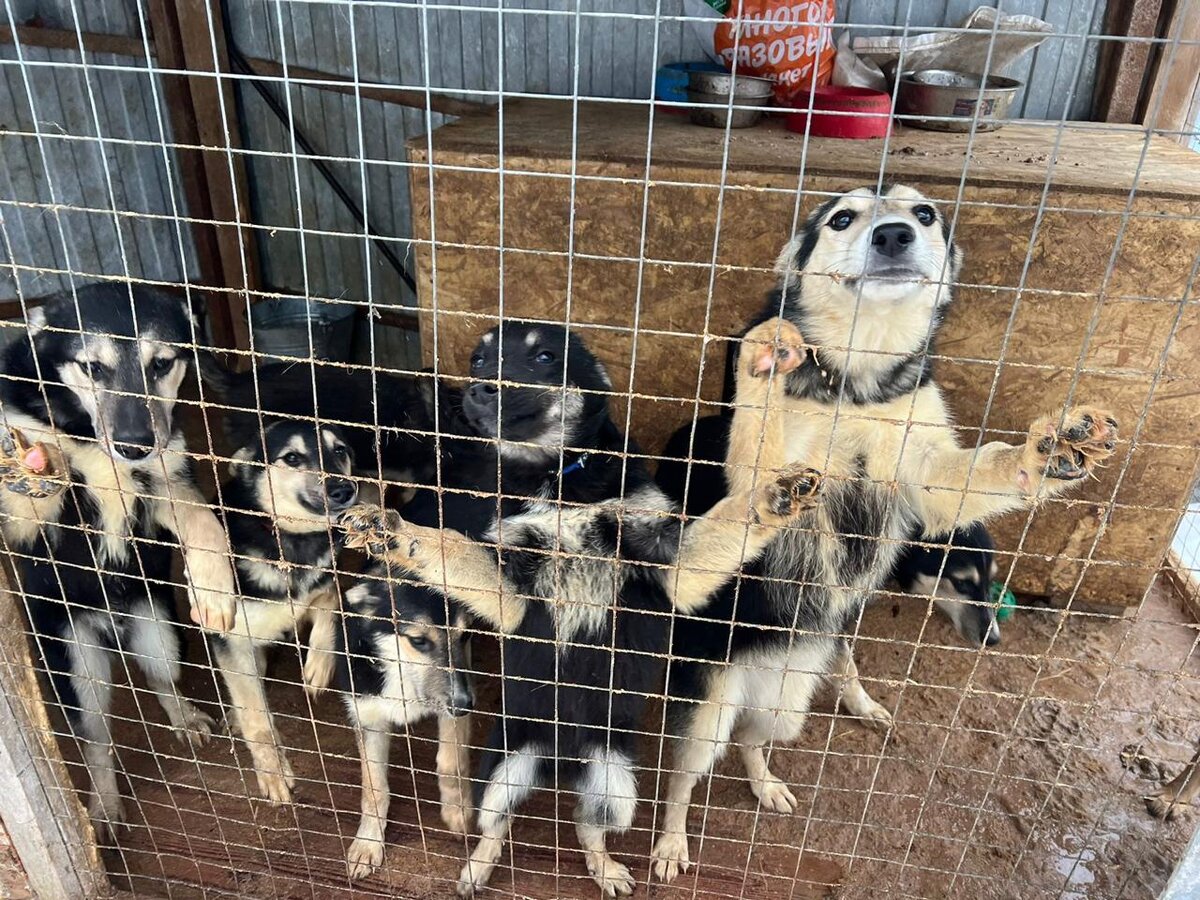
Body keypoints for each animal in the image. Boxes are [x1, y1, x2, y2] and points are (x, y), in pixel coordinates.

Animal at [0, 285, 234, 844]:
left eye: (162, 364)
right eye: (92, 368)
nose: (133, 445)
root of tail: (112, 626)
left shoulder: (165, 480)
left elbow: (204, 523)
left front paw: (215, 588)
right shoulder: (35, 520)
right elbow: (34, 489)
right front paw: (35, 469)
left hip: (161, 632)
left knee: (162, 680)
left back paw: (186, 717)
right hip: (77, 665)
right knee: (97, 742)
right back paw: (103, 804)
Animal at [652, 183, 1118, 883]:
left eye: (924, 214)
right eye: (841, 218)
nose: (895, 235)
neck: (858, 382)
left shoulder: (928, 474)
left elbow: (981, 470)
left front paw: (1050, 450)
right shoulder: (759, 467)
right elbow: (759, 455)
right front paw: (767, 356)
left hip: (786, 705)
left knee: (754, 743)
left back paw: (766, 784)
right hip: (709, 711)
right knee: (684, 779)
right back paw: (671, 843)